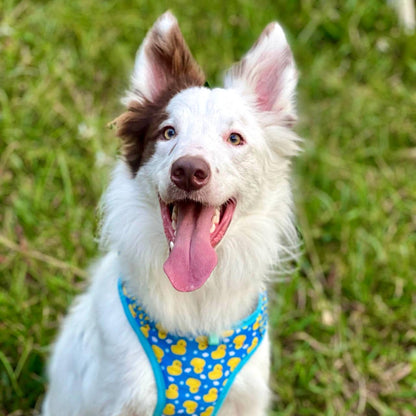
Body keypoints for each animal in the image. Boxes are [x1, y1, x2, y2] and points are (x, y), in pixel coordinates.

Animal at [42, 11, 300, 414]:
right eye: (167, 132)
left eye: (235, 138)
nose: (189, 170)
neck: (195, 303)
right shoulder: (119, 396)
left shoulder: (247, 398)